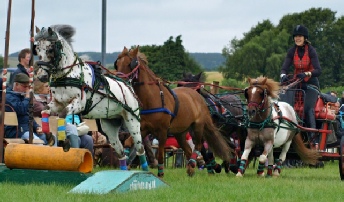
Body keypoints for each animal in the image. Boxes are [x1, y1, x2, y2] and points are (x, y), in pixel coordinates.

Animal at [33, 24, 149, 171]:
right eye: (37, 49)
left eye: (50, 49)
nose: (41, 76)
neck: (67, 74)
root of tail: (128, 86)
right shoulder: (57, 103)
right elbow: (44, 112)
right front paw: (49, 137)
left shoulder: (78, 104)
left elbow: (63, 115)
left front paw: (64, 142)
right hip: (109, 127)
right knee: (121, 152)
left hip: (133, 123)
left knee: (140, 149)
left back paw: (146, 172)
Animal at [114, 46, 232, 177]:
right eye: (117, 64)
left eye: (130, 63)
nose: (117, 79)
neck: (153, 98)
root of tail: (198, 97)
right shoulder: (144, 128)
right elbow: (128, 142)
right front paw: (125, 163)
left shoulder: (162, 132)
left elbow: (160, 154)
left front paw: (160, 174)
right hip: (180, 133)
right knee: (188, 149)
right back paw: (191, 168)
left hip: (197, 126)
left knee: (199, 144)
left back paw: (194, 164)